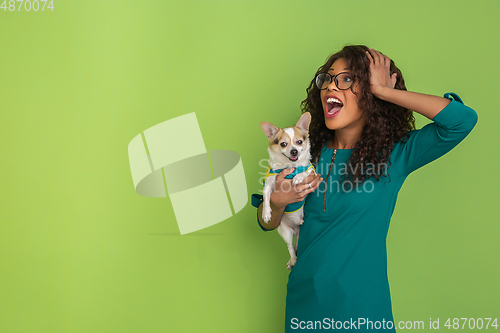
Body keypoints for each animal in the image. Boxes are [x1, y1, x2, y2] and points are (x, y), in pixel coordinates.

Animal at [260, 113, 314, 268]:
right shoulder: (269, 184)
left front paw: (298, 177)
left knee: (296, 246)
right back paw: (293, 260)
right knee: (290, 247)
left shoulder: (313, 173)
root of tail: (296, 228)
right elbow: (266, 195)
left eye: (299, 142)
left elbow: (306, 172)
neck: (291, 167)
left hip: (300, 234)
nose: (294, 150)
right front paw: (266, 213)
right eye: (283, 144)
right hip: (285, 231)